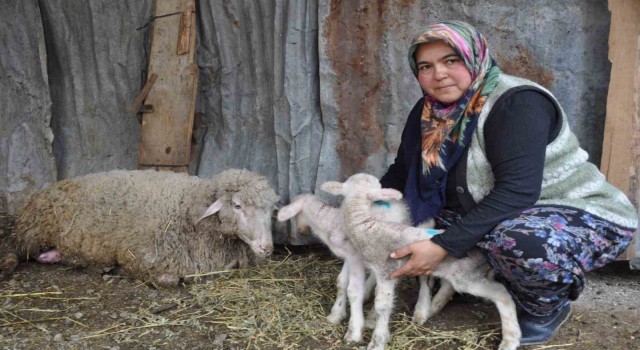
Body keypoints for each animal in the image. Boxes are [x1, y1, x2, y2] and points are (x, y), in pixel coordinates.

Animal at [0, 168, 280, 286]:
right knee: (13, 250)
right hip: (32, 231)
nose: (267, 248)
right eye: (237, 205)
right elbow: (168, 280)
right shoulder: (137, 256)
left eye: (270, 210)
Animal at [276, 193, 450, 344]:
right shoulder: (350, 256)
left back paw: (421, 310)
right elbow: (341, 282)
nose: (301, 232)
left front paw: (353, 331)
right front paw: (336, 314)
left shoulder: (355, 257)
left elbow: (353, 291)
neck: (329, 220)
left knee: (423, 277)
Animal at [322, 174, 524, 350]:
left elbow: (382, 304)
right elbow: (348, 286)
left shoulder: (386, 270)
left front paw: (377, 340)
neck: (367, 225)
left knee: (501, 293)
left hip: (464, 275)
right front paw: (343, 318)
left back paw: (510, 340)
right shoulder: (361, 259)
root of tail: (482, 251)